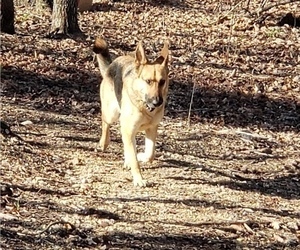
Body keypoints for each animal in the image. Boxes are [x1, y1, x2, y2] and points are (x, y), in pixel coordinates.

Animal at [92, 37, 170, 186]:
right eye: (148, 81)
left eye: (162, 81)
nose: (157, 102)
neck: (145, 107)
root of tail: (113, 63)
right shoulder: (129, 129)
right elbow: (135, 160)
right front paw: (138, 178)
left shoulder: (151, 129)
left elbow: (150, 154)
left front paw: (141, 156)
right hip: (111, 113)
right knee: (105, 123)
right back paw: (104, 143)